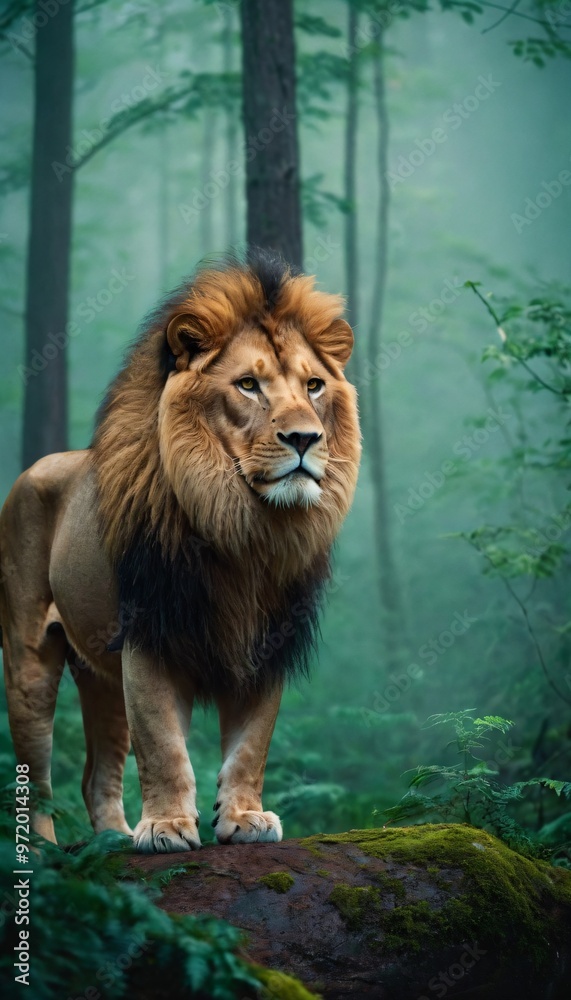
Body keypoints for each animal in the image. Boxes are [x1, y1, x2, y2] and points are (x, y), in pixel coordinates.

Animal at [0, 251, 360, 852]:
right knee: (36, 775)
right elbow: (163, 744)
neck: (243, 528)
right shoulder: (150, 634)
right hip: (29, 660)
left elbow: (252, 745)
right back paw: (48, 851)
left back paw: (114, 840)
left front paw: (244, 818)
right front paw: (168, 826)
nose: (305, 439)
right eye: (248, 385)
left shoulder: (266, 641)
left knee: (96, 774)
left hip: (100, 672)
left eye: (313, 385)